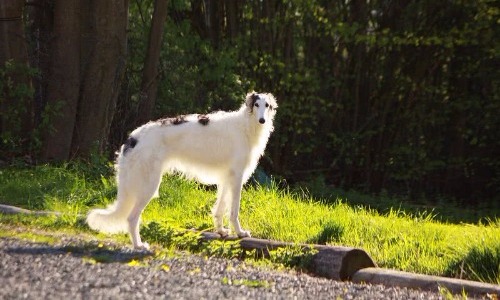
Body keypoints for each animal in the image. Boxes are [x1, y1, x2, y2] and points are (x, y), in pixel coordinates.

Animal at [87, 91, 278, 248]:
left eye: (267, 105)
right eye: (256, 104)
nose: (262, 120)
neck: (245, 126)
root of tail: (133, 138)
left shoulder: (227, 178)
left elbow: (220, 208)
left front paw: (221, 231)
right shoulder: (237, 176)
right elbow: (234, 210)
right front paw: (240, 233)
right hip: (149, 186)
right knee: (131, 218)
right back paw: (139, 245)